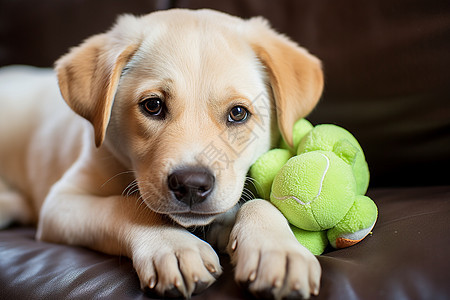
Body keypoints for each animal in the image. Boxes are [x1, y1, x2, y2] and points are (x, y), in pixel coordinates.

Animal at [0, 8, 324, 298]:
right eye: (153, 105)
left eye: (238, 113)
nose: (191, 185)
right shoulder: (61, 202)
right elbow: (125, 205)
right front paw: (173, 245)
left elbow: (260, 202)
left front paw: (278, 249)